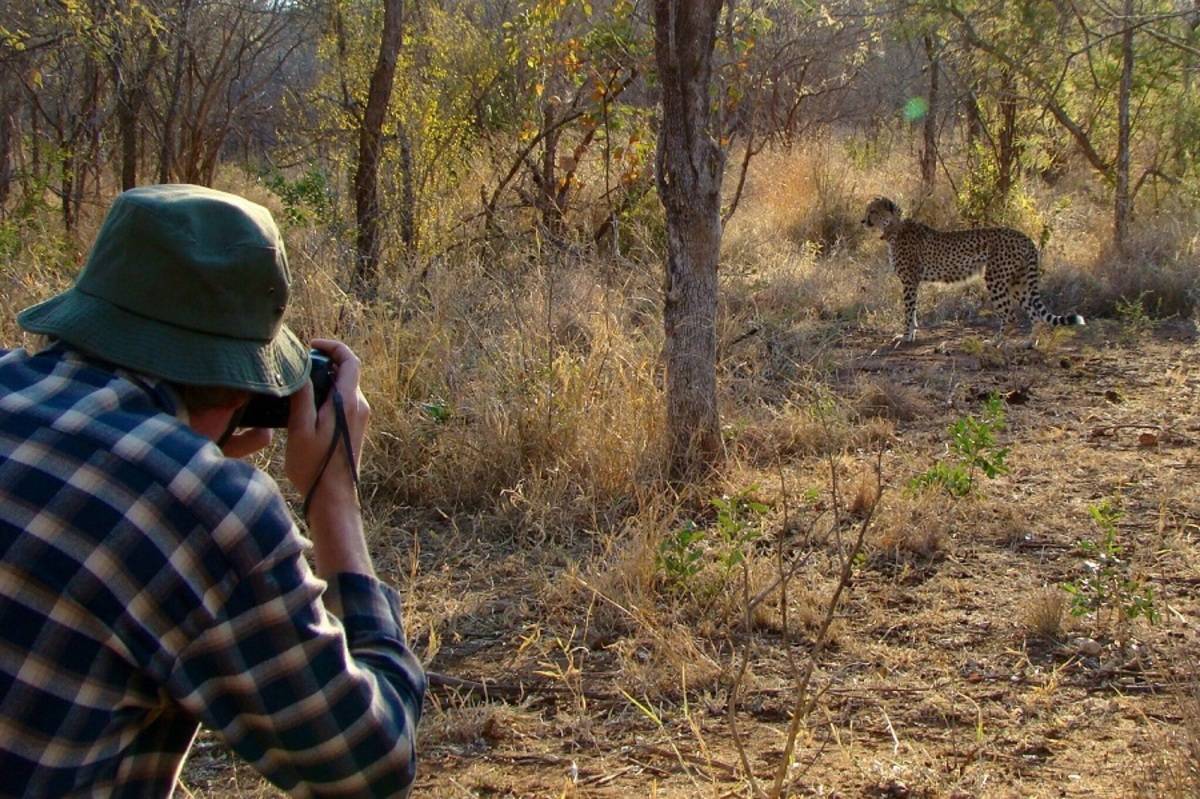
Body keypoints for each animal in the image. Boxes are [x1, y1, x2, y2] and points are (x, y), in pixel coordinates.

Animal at [859, 197, 1084, 340]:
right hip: (1018, 282)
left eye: (873, 211)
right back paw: (1028, 344)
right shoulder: (914, 282)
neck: (893, 228)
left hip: (995, 279)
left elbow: (908, 311)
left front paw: (906, 336)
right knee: (1036, 316)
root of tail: (1024, 237)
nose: (862, 221)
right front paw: (912, 334)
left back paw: (996, 343)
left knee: (1010, 316)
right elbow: (913, 310)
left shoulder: (909, 281)